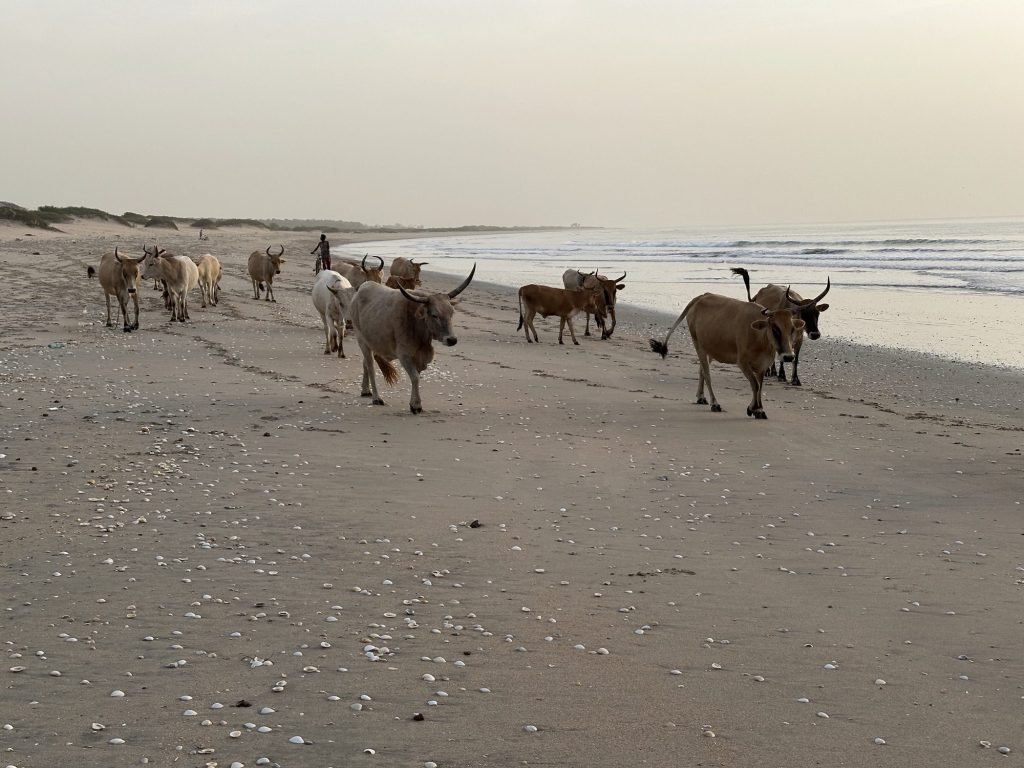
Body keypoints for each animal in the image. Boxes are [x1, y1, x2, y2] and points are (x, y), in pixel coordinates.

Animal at [347, 264, 476, 414]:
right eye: (434, 315)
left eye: (451, 313)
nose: (452, 340)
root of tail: (360, 291)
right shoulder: (404, 355)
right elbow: (415, 377)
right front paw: (416, 405)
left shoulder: (419, 357)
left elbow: (417, 376)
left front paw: (413, 402)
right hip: (362, 340)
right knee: (370, 366)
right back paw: (376, 398)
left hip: (372, 342)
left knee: (365, 363)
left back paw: (365, 390)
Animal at [649, 292, 806, 419]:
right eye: (775, 328)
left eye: (792, 329)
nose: (789, 356)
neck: (760, 339)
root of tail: (702, 296)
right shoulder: (742, 363)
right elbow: (754, 385)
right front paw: (753, 409)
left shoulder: (763, 365)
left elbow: (759, 386)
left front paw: (758, 410)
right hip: (698, 344)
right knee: (707, 374)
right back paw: (715, 403)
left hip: (709, 349)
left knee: (701, 371)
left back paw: (701, 397)